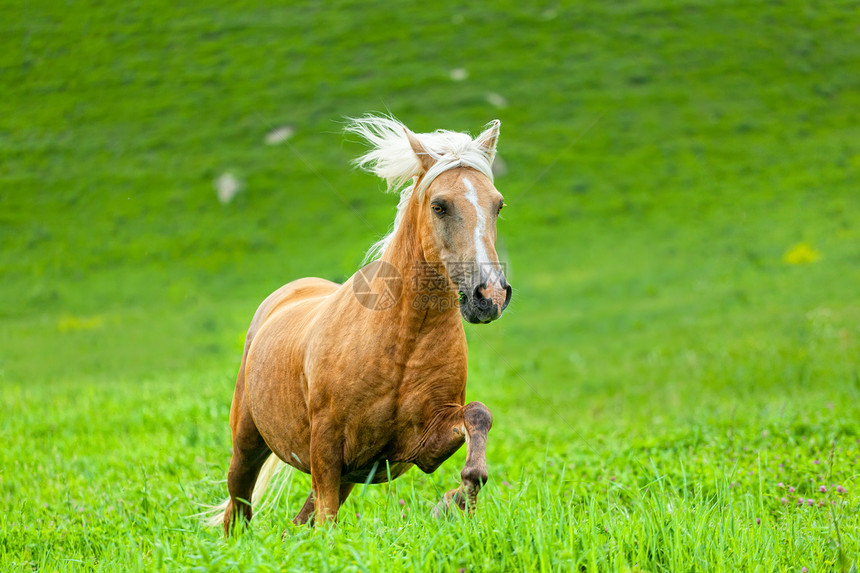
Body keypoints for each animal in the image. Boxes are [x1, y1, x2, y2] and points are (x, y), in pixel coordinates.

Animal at [208, 116, 510, 532]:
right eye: (439, 206)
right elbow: (327, 518)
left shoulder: (417, 447)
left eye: (498, 205)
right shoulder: (326, 447)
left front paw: (452, 502)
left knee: (298, 522)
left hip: (348, 475)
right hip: (248, 443)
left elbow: (478, 417)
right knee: (238, 510)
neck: (401, 342)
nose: (489, 296)